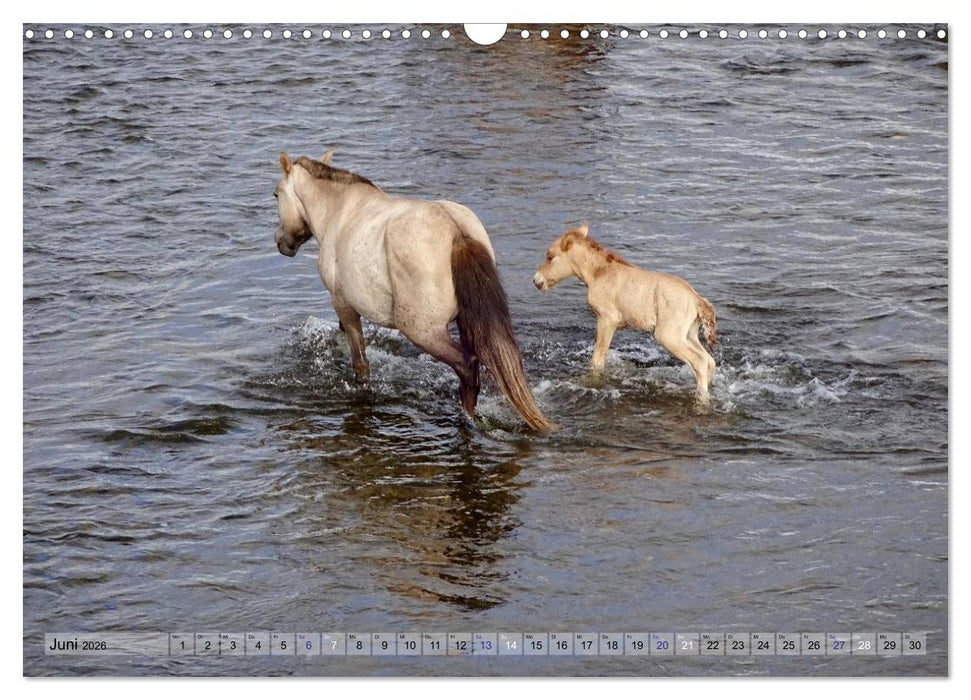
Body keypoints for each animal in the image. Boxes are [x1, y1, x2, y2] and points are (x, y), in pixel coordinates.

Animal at [272, 150, 552, 431]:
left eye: (276, 194)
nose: (282, 242)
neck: (336, 212)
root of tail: (456, 231)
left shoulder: (342, 302)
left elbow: (360, 363)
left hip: (421, 329)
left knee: (467, 365)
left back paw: (467, 417)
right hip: (463, 323)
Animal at [532, 223, 717, 403]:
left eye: (550, 256)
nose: (536, 280)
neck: (597, 273)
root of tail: (697, 300)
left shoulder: (607, 319)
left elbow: (597, 359)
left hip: (667, 335)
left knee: (700, 361)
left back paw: (702, 398)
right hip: (689, 335)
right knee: (709, 360)